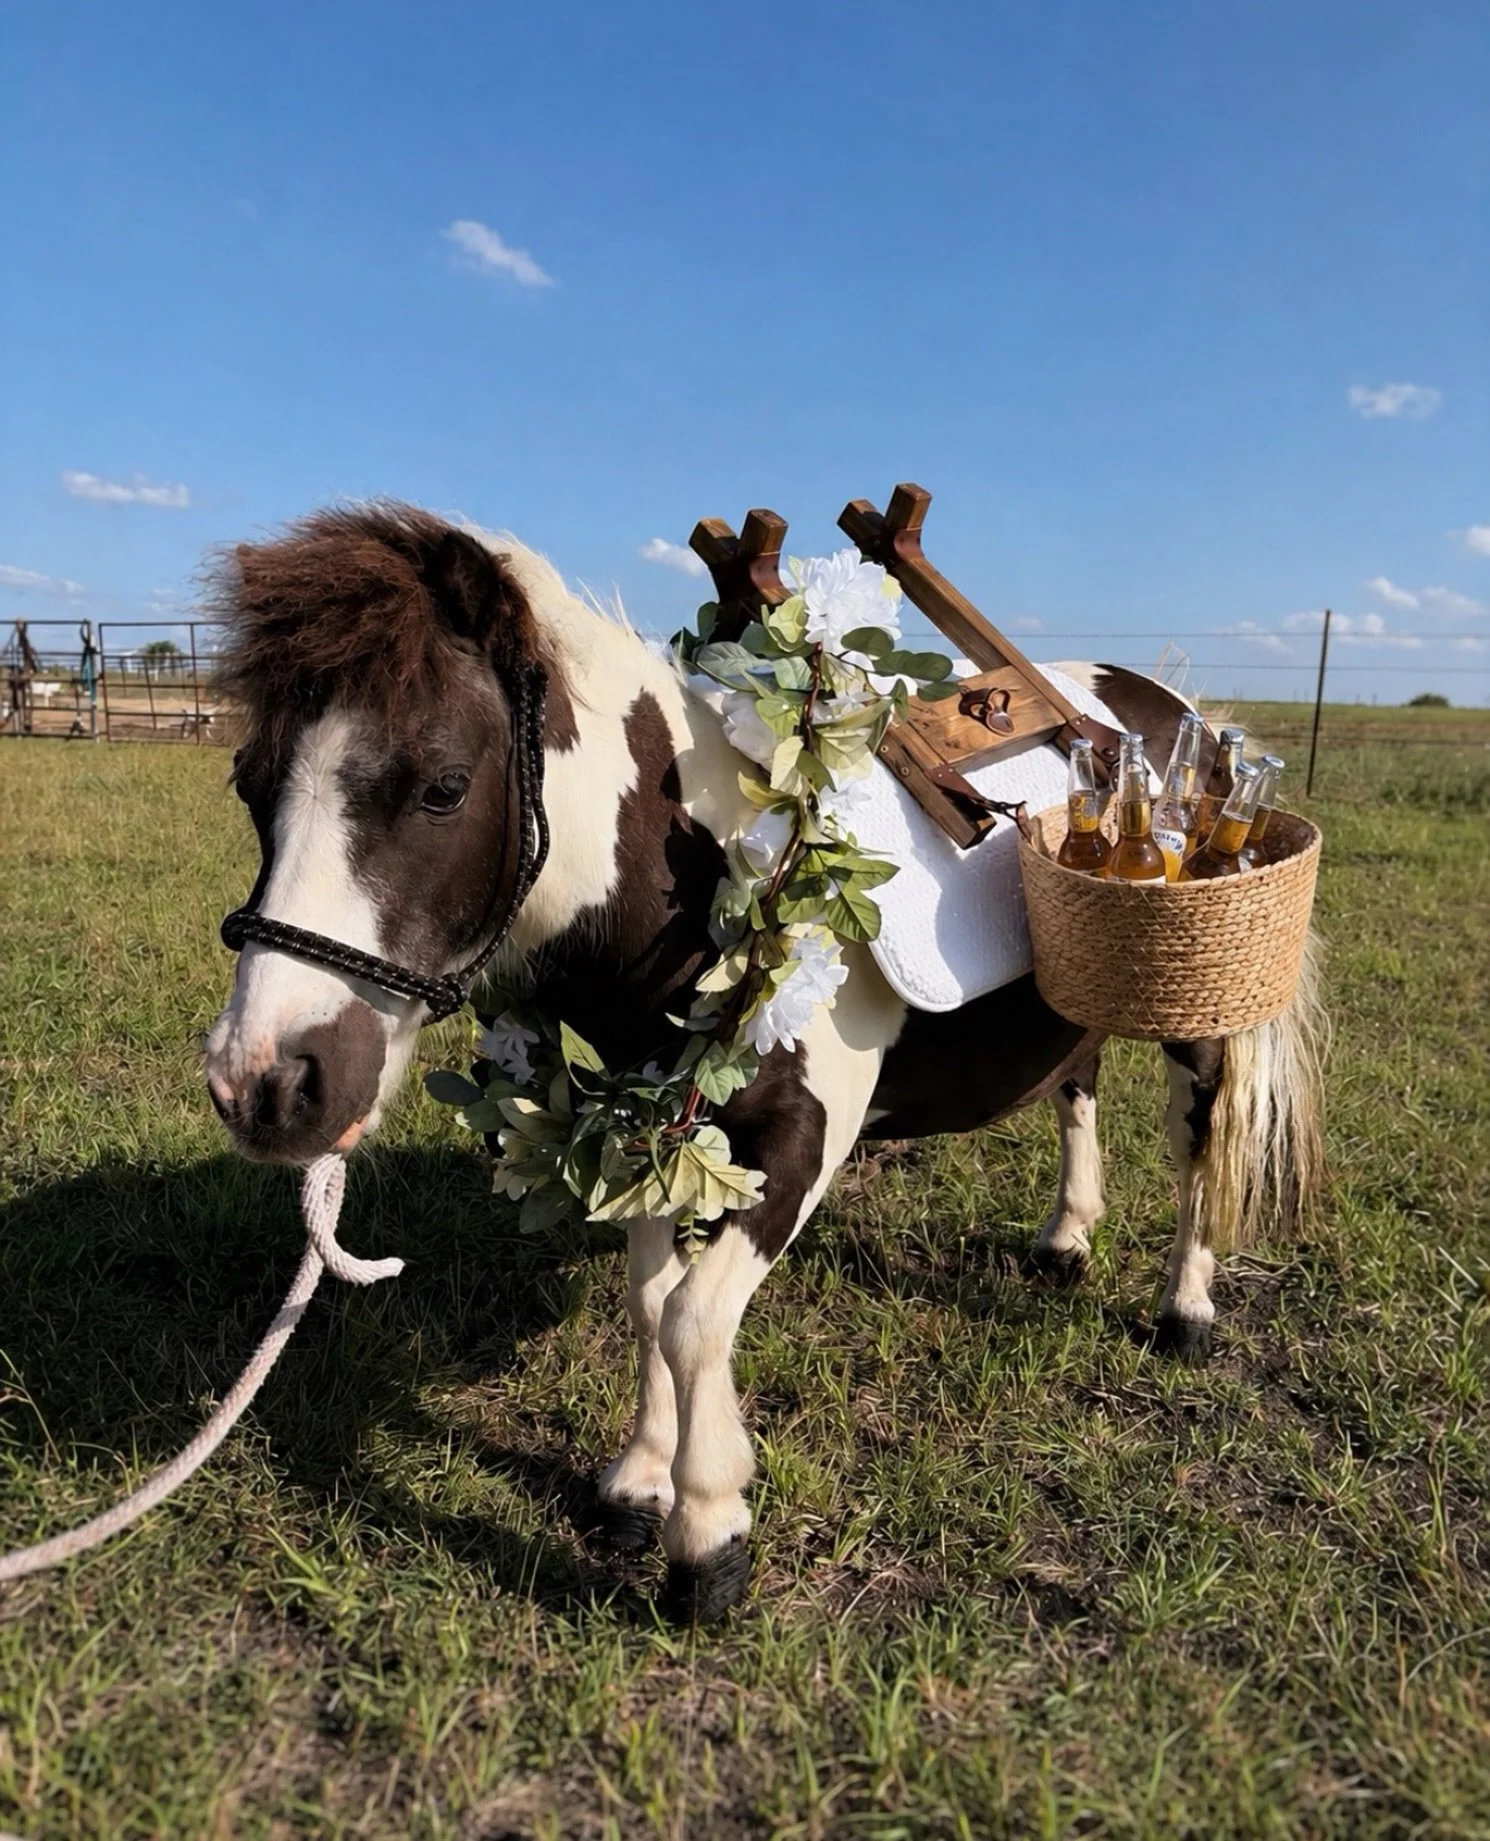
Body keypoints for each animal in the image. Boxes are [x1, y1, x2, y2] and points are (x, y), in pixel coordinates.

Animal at [203, 503, 1325, 1623]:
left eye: (442, 786)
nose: (265, 1083)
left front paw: (708, 1534)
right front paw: (638, 1480)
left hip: (1198, 1014)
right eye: (248, 785)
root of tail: (1168, 708)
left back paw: (1185, 1307)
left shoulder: (797, 1140)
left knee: (1197, 1135)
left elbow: (694, 1319)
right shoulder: (643, 1119)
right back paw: (1065, 1236)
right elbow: (649, 1300)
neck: (697, 878)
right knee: (1074, 1086)